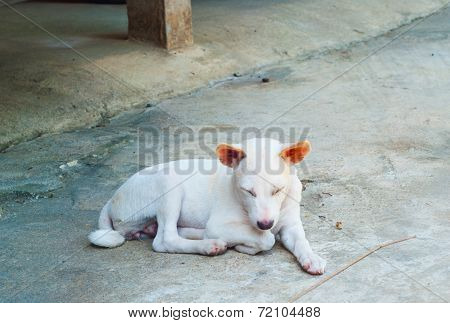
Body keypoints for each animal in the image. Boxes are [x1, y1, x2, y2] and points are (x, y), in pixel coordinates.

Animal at [89, 138, 326, 274]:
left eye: (277, 190)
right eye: (248, 192)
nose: (266, 223)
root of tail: (112, 199)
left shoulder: (290, 224)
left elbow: (301, 241)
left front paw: (312, 258)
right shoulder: (220, 224)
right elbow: (266, 240)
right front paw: (246, 246)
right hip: (169, 186)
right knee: (165, 240)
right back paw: (209, 245)